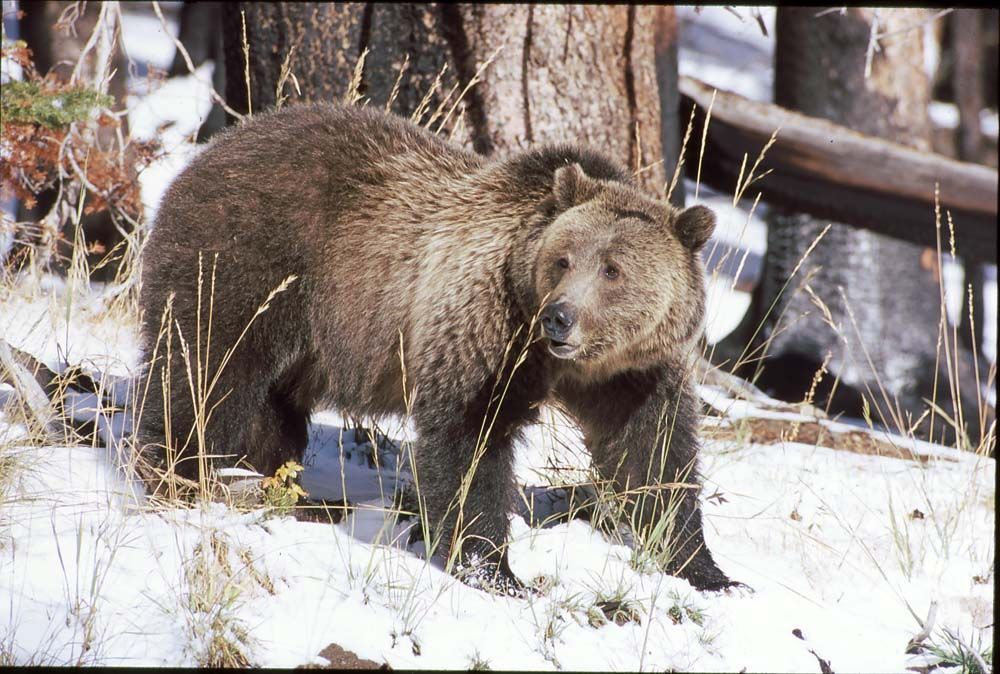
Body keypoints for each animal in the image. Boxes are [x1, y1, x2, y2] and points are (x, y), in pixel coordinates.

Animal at [137, 102, 735, 594]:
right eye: (563, 259)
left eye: (613, 270)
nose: (560, 317)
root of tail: (210, 148)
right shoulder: (487, 326)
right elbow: (469, 438)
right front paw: (495, 569)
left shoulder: (632, 371)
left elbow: (653, 454)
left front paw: (706, 570)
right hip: (248, 260)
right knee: (207, 372)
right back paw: (178, 474)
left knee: (270, 412)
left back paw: (288, 488)